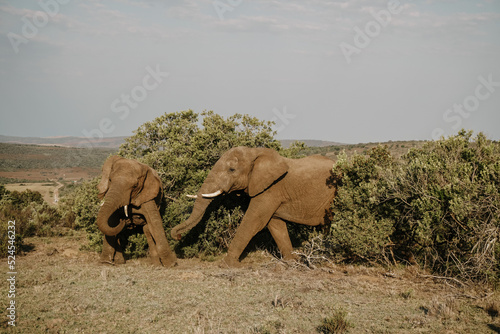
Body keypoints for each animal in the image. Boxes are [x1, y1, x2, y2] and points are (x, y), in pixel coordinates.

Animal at [170, 146, 338, 266]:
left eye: (232, 169)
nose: (177, 236)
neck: (255, 152)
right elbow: (274, 224)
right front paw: (291, 263)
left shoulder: (270, 189)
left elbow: (253, 221)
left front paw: (227, 264)